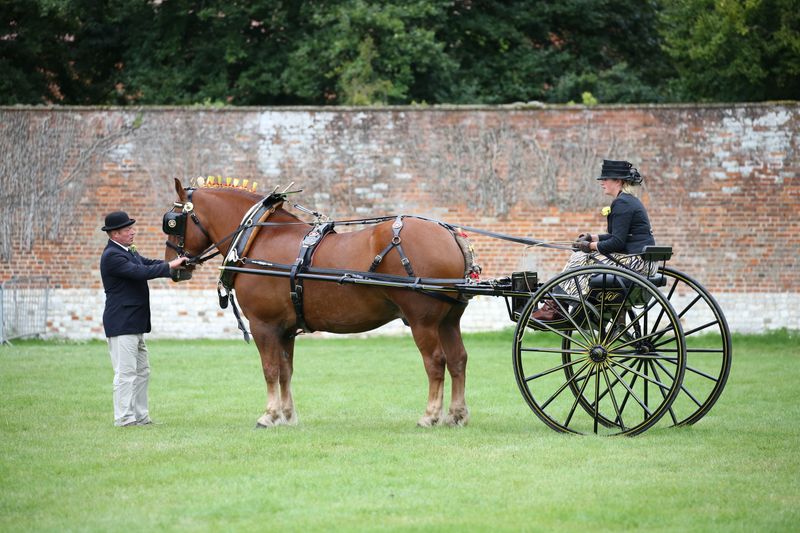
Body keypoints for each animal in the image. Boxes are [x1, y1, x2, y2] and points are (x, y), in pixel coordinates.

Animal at [165, 179, 472, 428]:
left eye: (172, 221)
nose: (176, 268)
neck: (257, 240)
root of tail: (450, 234)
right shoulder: (285, 329)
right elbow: (285, 370)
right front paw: (288, 416)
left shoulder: (263, 325)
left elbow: (270, 370)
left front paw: (269, 415)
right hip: (448, 320)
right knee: (458, 359)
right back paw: (456, 415)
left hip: (423, 321)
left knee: (436, 362)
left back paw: (430, 416)